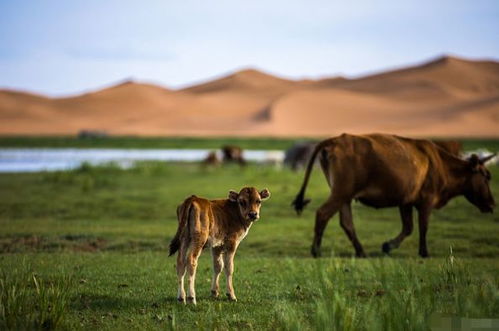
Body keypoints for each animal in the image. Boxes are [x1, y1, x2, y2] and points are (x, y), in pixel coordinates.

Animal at [292, 134, 496, 258]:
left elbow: (408, 227)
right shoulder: (427, 200)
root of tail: (335, 140)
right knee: (323, 214)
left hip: (344, 197)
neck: (441, 164)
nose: (493, 204)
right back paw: (316, 250)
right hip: (341, 193)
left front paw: (388, 246)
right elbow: (423, 226)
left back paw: (361, 252)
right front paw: (424, 252)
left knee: (346, 223)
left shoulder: (405, 202)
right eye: (487, 176)